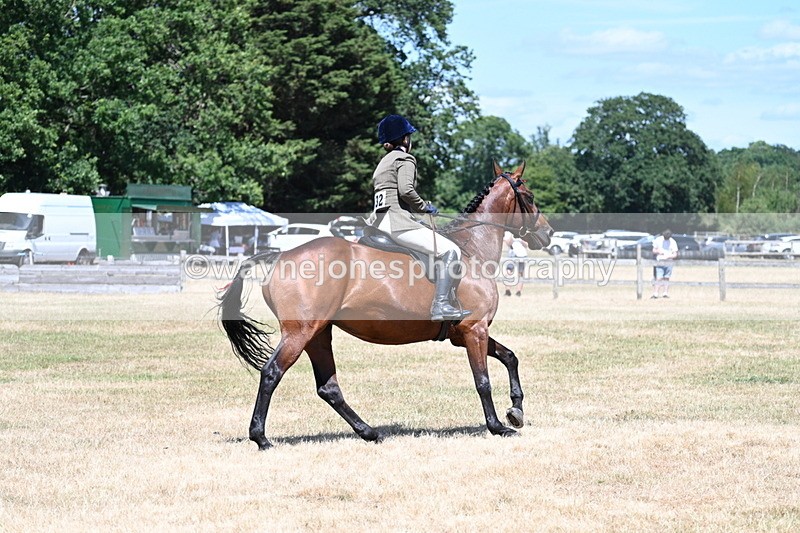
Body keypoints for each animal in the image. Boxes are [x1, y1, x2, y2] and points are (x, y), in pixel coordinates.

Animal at [219, 161, 553, 450]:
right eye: (530, 197)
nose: (548, 233)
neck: (472, 251)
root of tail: (279, 256)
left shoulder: (465, 334)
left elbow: (510, 357)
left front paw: (516, 411)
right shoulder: (475, 330)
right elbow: (482, 380)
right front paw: (497, 425)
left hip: (318, 334)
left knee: (328, 387)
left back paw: (369, 432)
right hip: (298, 333)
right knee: (271, 373)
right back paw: (261, 438)